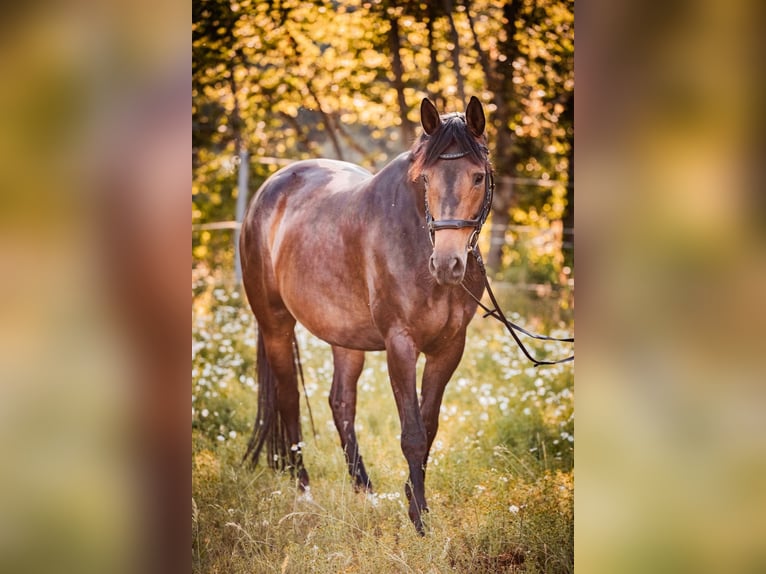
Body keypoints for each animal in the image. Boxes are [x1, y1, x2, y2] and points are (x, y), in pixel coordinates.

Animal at [238, 95, 492, 536]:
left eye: (477, 177)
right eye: (426, 180)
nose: (447, 265)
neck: (414, 236)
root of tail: (269, 189)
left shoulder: (448, 348)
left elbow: (429, 426)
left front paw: (411, 498)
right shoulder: (400, 344)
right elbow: (412, 433)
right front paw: (419, 519)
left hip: (345, 338)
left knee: (341, 402)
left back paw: (366, 491)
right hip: (275, 325)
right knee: (289, 399)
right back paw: (303, 489)